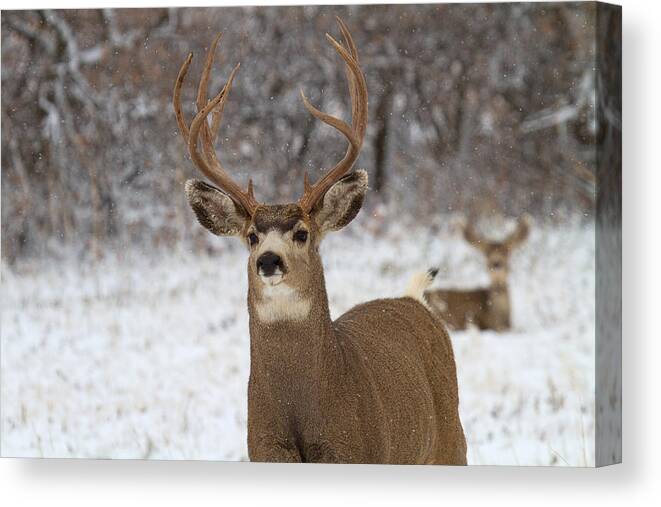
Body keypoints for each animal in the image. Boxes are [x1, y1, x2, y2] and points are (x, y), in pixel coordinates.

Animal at [173, 18, 466, 464]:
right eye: (252, 236)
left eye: (302, 232)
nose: (269, 261)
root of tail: (414, 300)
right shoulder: (263, 449)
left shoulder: (359, 451)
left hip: (452, 439)